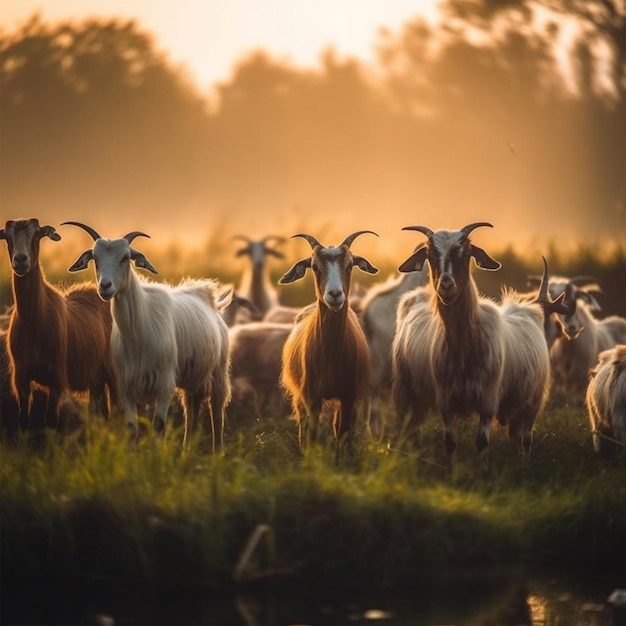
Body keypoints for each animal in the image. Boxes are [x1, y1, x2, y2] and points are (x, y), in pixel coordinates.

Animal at [0, 217, 117, 426]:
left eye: (37, 234)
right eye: (7, 237)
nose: (20, 260)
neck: (34, 322)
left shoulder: (56, 379)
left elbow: (51, 420)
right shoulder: (21, 379)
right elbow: (23, 420)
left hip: (113, 371)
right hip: (95, 377)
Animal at [64, 222, 232, 446]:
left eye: (125, 257)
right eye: (95, 258)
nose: (105, 287)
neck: (138, 333)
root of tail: (210, 298)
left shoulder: (164, 383)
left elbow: (159, 425)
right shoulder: (126, 385)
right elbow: (131, 428)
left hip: (219, 373)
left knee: (217, 412)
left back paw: (217, 450)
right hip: (193, 376)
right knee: (191, 411)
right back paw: (186, 450)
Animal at [278, 229, 376, 448]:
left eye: (349, 265)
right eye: (314, 267)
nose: (335, 295)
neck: (331, 355)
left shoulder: (348, 396)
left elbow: (343, 433)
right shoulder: (312, 398)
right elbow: (312, 435)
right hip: (300, 397)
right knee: (303, 426)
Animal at [390, 222, 502, 470]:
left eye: (466, 253)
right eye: (430, 256)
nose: (447, 286)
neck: (463, 349)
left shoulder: (488, 400)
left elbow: (482, 441)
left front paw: (484, 472)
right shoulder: (445, 400)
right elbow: (450, 442)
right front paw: (451, 472)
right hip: (405, 390)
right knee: (407, 428)